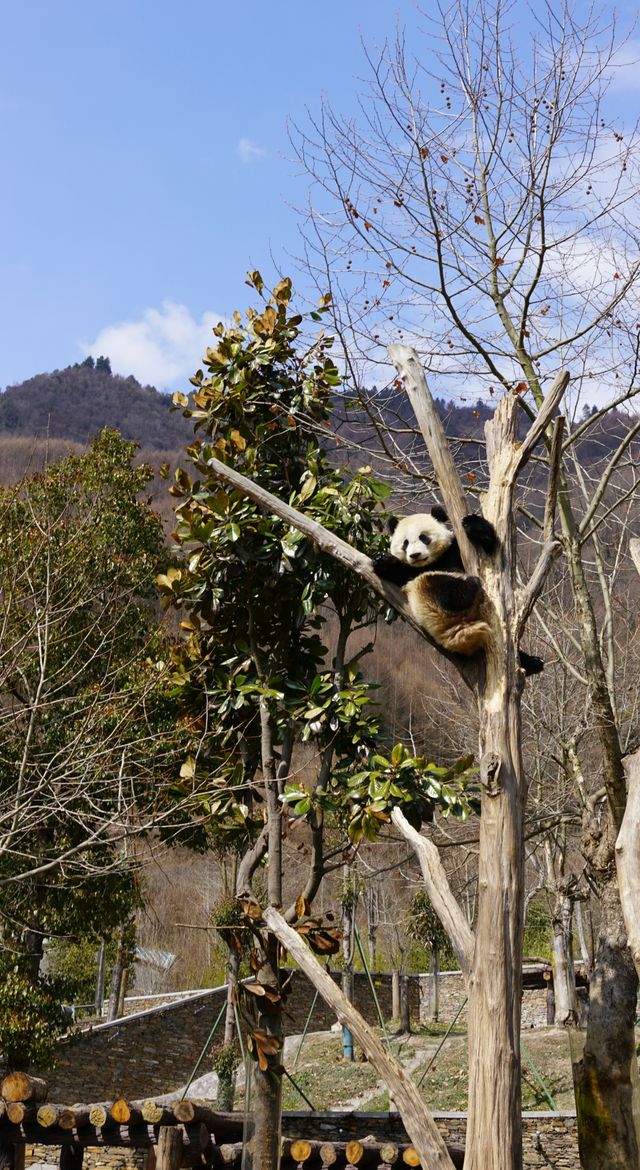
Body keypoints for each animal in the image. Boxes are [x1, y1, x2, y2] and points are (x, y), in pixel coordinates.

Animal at [372, 505, 542, 678]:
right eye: (405, 543)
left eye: (424, 538)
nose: (415, 555)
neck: (432, 562)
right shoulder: (410, 574)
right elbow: (400, 573)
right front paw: (383, 560)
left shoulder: (453, 551)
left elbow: (489, 552)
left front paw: (472, 524)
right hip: (427, 602)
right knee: (437, 587)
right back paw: (468, 587)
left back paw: (533, 663)